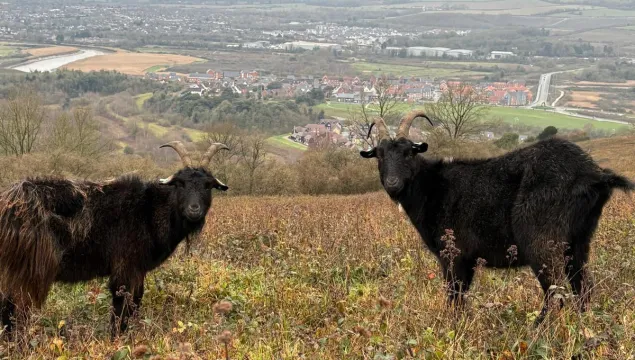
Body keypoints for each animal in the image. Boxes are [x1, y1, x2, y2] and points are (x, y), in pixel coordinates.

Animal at [0, 141, 229, 338]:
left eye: (208, 185)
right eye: (180, 184)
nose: (194, 209)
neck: (149, 210)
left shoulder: (138, 270)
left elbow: (136, 301)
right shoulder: (124, 268)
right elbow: (121, 307)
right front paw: (116, 339)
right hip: (28, 271)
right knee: (15, 307)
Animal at [360, 111, 632, 322]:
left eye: (408, 153)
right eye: (379, 155)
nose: (392, 184)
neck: (433, 187)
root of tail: (594, 175)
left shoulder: (453, 255)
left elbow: (454, 295)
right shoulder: (468, 260)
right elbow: (461, 296)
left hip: (542, 242)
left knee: (556, 291)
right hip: (579, 241)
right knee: (582, 286)